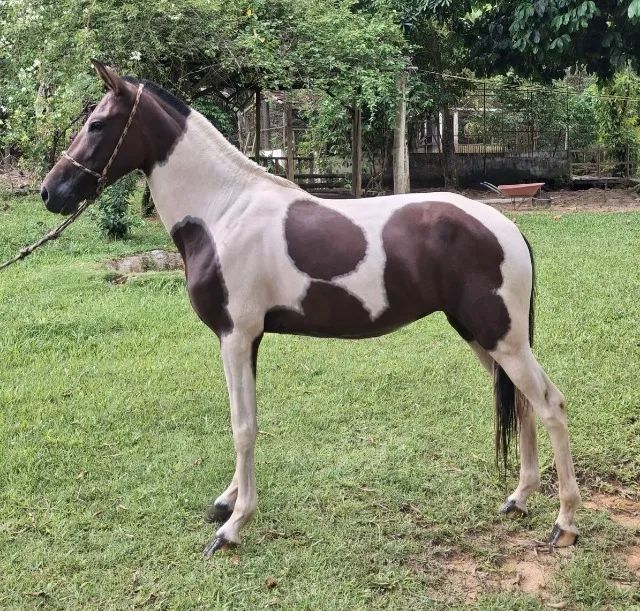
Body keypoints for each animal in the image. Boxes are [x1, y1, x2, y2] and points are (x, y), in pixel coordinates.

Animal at [41, 61, 581, 556]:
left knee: (550, 404)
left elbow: (242, 426)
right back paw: (519, 499)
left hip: (502, 338)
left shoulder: (236, 336)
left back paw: (565, 523)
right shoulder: (247, 339)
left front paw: (234, 525)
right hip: (481, 335)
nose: (51, 191)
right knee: (522, 403)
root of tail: (507, 227)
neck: (224, 211)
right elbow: (245, 417)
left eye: (97, 124)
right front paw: (227, 501)